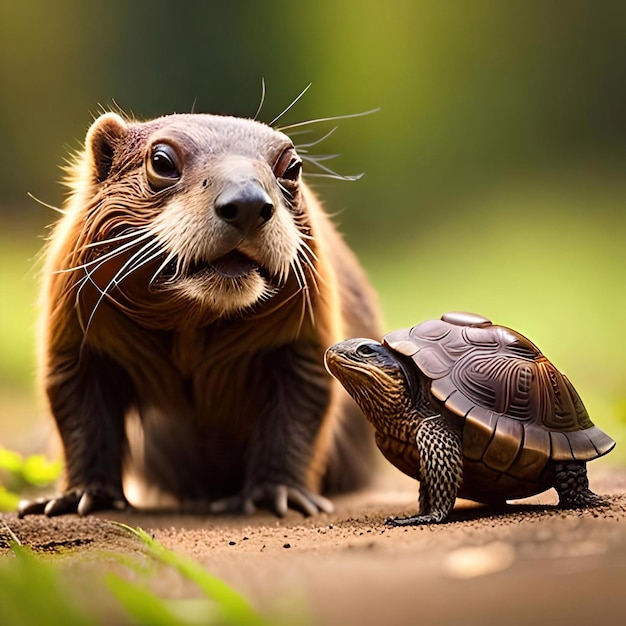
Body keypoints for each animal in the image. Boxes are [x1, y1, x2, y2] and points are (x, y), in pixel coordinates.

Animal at [19, 111, 380, 516]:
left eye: (292, 166)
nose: (248, 202)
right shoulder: (75, 347)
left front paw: (279, 494)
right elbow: (77, 415)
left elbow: (301, 414)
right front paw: (80, 496)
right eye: (162, 161)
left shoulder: (302, 347)